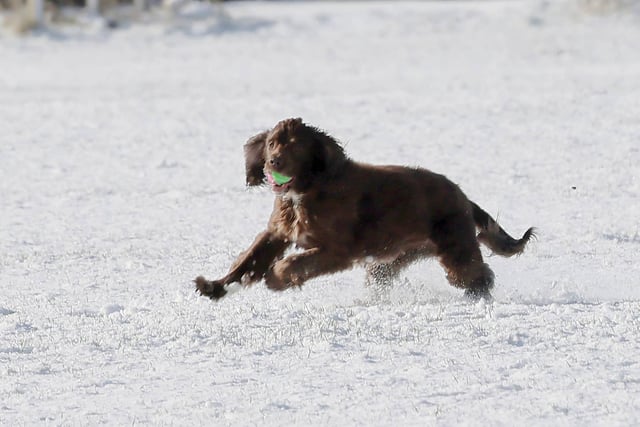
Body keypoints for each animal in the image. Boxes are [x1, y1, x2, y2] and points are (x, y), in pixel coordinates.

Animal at [196, 117, 536, 300]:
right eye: (270, 144)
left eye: (296, 146)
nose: (272, 163)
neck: (307, 190)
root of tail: (463, 197)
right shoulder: (276, 233)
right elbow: (247, 261)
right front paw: (214, 286)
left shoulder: (337, 251)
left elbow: (295, 263)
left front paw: (277, 279)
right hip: (391, 260)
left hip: (455, 248)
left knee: (478, 275)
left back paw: (479, 297)